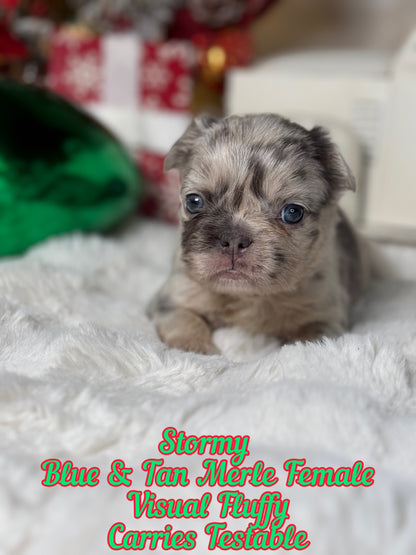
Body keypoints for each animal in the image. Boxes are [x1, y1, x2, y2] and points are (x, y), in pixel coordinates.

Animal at [148, 113, 368, 354]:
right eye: (194, 201)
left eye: (293, 212)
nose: (233, 239)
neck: (246, 297)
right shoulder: (173, 299)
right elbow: (185, 320)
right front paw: (196, 348)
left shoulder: (324, 316)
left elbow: (309, 340)